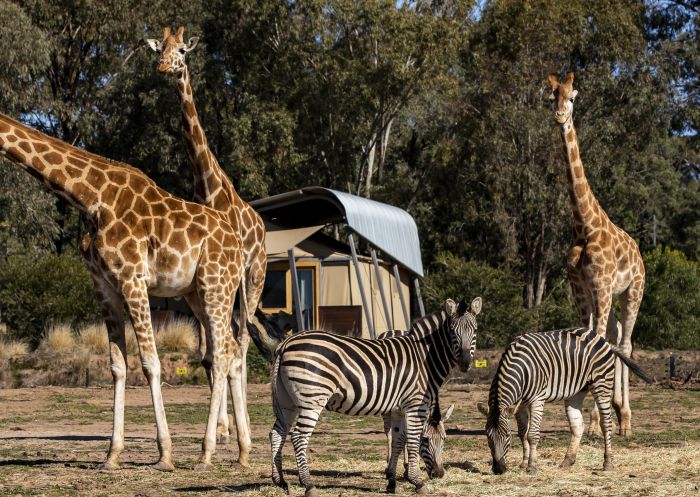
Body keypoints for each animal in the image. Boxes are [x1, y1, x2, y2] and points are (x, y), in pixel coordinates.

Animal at [0, 111, 246, 468]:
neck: (90, 197)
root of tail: (239, 246)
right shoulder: (104, 285)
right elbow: (117, 366)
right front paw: (112, 455)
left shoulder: (132, 278)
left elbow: (150, 363)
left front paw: (165, 455)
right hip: (198, 293)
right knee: (231, 349)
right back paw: (243, 451)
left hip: (216, 284)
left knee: (223, 354)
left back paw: (207, 452)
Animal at [146, 24, 270, 464]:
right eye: (160, 47)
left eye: (182, 50)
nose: (163, 66)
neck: (208, 184)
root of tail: (263, 227)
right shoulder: (197, 285)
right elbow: (207, 354)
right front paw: (222, 430)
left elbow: (227, 350)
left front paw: (226, 434)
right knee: (228, 344)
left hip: (253, 278)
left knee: (244, 341)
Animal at [268, 296, 482, 494]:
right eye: (452, 331)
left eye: (475, 331)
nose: (438, 474)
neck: (425, 359)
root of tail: (287, 342)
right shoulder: (415, 405)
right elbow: (412, 441)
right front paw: (417, 481)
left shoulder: (398, 409)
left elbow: (398, 441)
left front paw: (392, 481)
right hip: (312, 399)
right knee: (298, 436)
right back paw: (308, 484)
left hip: (288, 401)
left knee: (277, 433)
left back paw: (280, 481)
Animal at [482, 328, 652, 474]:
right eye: (488, 437)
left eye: (506, 436)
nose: (499, 470)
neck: (521, 367)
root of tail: (604, 340)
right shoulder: (519, 404)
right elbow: (523, 433)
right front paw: (524, 463)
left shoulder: (537, 399)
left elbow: (532, 434)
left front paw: (531, 467)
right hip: (576, 392)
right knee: (578, 426)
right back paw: (567, 461)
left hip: (602, 383)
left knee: (606, 424)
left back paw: (608, 463)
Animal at [548, 71, 644, 436]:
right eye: (551, 96)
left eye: (573, 96)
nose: (560, 115)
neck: (584, 226)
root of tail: (640, 253)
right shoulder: (581, 288)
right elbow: (586, 340)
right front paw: (586, 416)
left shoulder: (601, 285)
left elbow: (598, 341)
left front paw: (592, 422)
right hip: (607, 295)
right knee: (617, 338)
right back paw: (616, 410)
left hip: (632, 291)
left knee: (626, 341)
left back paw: (625, 419)